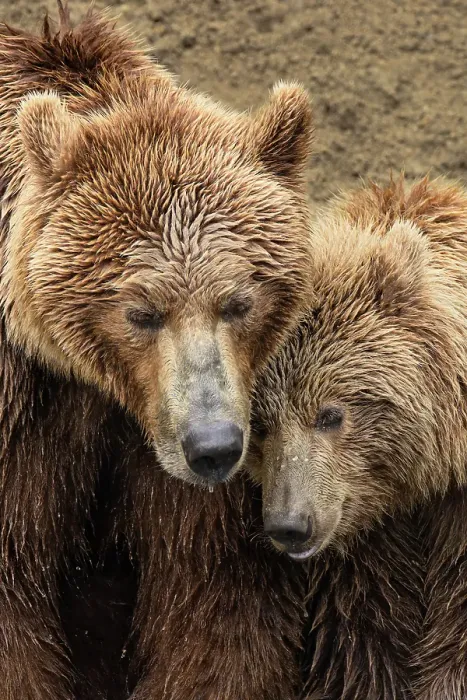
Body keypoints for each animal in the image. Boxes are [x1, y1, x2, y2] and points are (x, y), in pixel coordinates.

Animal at [0, 4, 314, 699]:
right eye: (140, 312)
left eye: (238, 302)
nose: (213, 446)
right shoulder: (25, 416)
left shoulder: (191, 462)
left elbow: (210, 607)